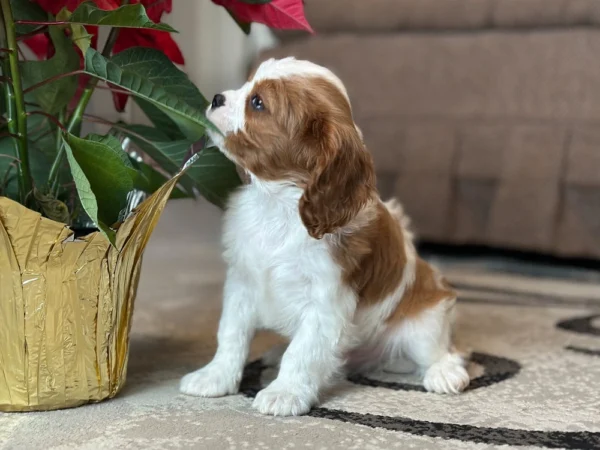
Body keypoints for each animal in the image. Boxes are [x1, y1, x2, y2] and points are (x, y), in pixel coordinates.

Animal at [180, 58, 472, 416]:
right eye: (247, 83)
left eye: (257, 103)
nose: (217, 98)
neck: (278, 204)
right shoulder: (242, 282)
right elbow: (231, 334)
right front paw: (215, 376)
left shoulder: (326, 301)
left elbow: (302, 352)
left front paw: (284, 393)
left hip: (424, 323)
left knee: (441, 351)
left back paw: (444, 373)